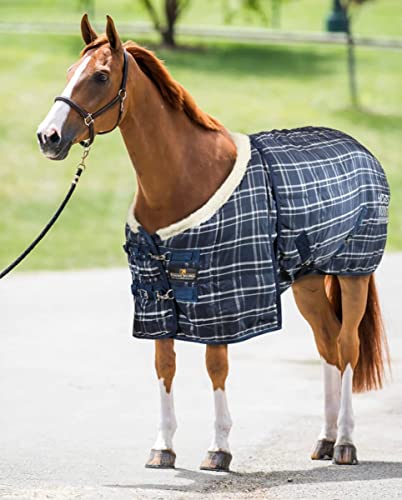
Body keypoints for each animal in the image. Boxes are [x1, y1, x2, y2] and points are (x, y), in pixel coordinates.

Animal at [37, 13, 390, 470]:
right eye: (68, 72)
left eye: (100, 75)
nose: (48, 137)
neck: (184, 175)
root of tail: (362, 149)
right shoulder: (157, 291)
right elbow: (164, 364)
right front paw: (162, 447)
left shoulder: (220, 293)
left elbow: (215, 364)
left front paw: (218, 449)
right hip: (308, 280)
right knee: (327, 343)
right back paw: (325, 440)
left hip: (353, 272)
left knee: (347, 346)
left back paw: (345, 443)